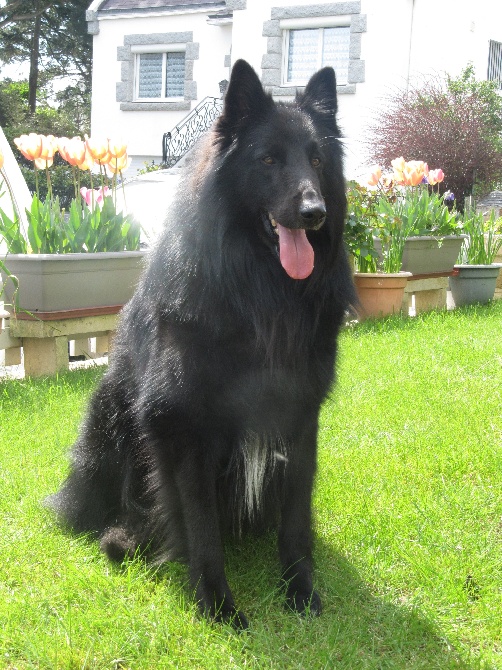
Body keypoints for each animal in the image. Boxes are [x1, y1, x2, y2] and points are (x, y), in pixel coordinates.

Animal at [47, 59, 352, 632]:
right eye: (268, 159)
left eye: (317, 159)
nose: (315, 212)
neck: (259, 293)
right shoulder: (185, 427)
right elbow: (202, 525)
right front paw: (215, 602)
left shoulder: (301, 417)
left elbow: (296, 519)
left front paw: (300, 588)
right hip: (107, 417)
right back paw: (121, 536)